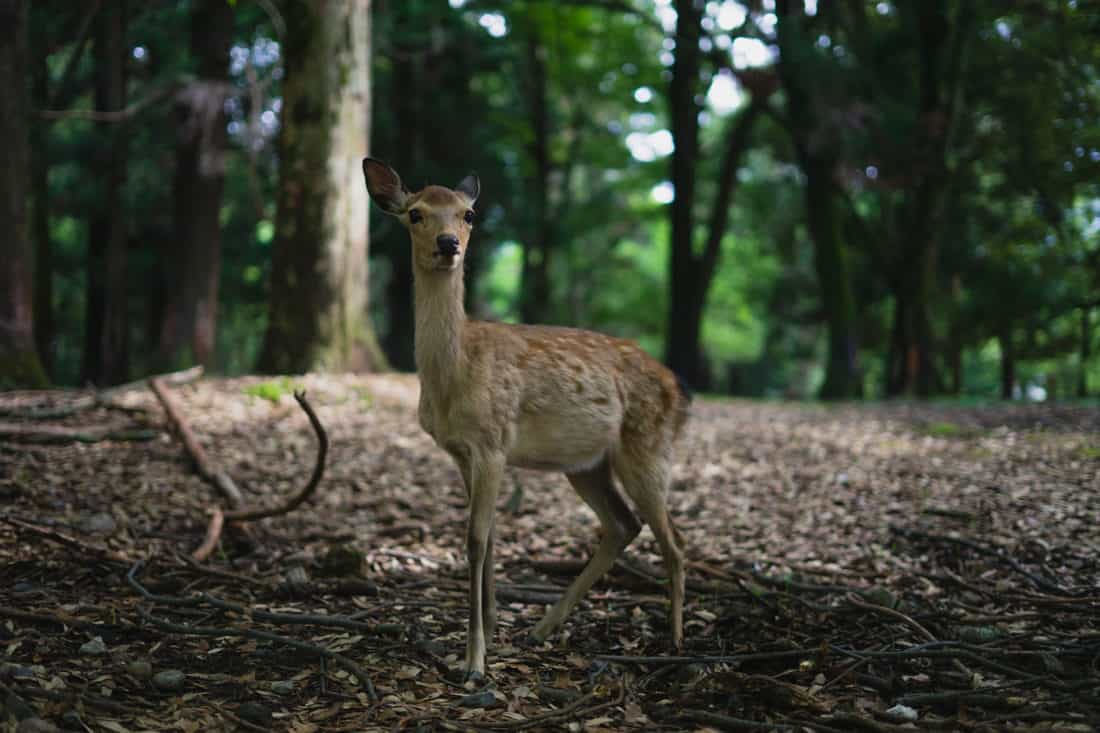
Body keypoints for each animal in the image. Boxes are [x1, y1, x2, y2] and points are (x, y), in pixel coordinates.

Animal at [363, 157, 686, 677]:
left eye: (469, 214)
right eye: (415, 213)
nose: (448, 243)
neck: (453, 376)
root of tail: (679, 391)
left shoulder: (493, 443)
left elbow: (475, 539)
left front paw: (475, 660)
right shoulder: (462, 452)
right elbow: (490, 535)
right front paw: (490, 633)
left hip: (650, 448)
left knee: (673, 539)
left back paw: (675, 639)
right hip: (586, 464)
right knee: (624, 525)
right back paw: (541, 628)